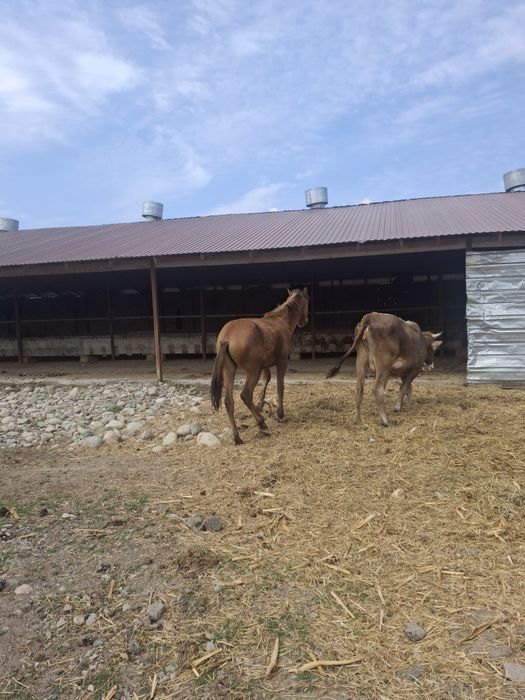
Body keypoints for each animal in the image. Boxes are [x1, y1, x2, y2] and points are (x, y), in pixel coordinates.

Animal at [211, 287, 309, 444]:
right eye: (307, 302)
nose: (304, 321)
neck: (280, 321)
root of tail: (227, 337)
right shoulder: (282, 362)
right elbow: (280, 387)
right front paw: (280, 414)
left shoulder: (265, 365)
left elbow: (266, 380)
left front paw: (261, 404)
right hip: (253, 371)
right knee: (245, 395)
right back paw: (262, 424)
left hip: (229, 370)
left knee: (228, 401)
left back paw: (237, 437)